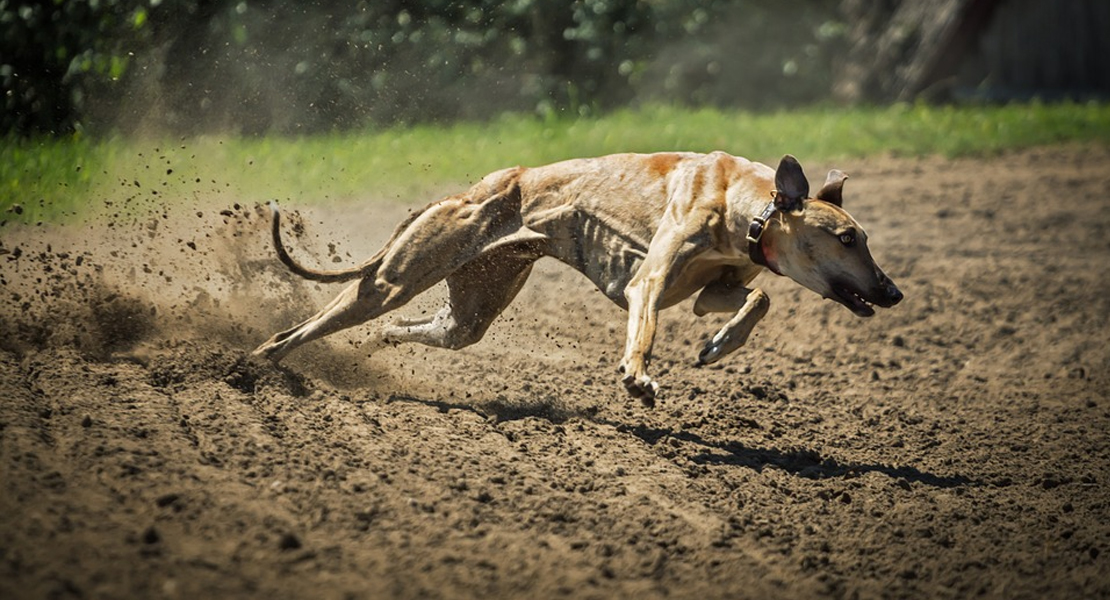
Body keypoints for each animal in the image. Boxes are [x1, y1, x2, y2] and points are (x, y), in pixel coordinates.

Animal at [251, 151, 901, 403]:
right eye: (848, 239)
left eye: (866, 237)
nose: (893, 292)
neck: (750, 204)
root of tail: (468, 192)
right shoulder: (648, 285)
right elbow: (645, 330)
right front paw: (638, 378)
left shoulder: (711, 288)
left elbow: (758, 296)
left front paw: (719, 345)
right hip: (392, 281)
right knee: (296, 332)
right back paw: (254, 365)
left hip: (468, 310)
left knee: (424, 327)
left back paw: (372, 347)